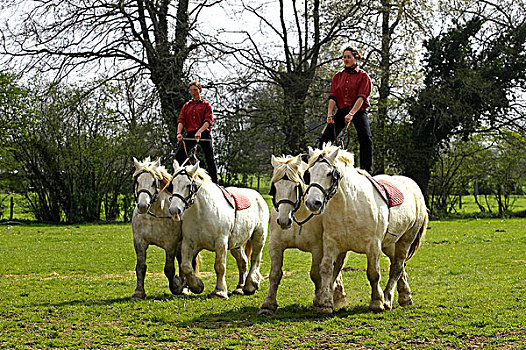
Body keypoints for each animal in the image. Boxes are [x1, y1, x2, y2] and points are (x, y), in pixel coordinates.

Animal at [132, 157, 198, 300]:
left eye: (153, 182)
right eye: (137, 181)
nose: (143, 206)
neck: (153, 217)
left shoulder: (170, 245)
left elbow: (169, 269)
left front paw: (176, 286)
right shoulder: (139, 242)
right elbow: (140, 266)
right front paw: (139, 292)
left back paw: (186, 287)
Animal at [169, 161, 270, 298]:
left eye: (188, 185)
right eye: (172, 184)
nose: (174, 210)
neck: (201, 212)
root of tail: (258, 196)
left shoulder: (221, 242)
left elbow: (220, 266)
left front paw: (219, 291)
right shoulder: (188, 243)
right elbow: (186, 266)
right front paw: (197, 286)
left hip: (259, 236)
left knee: (255, 259)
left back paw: (250, 285)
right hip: (236, 244)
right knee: (243, 262)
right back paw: (240, 287)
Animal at [260, 155, 350, 314]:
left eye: (295, 186)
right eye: (274, 187)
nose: (283, 221)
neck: (298, 216)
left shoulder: (318, 249)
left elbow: (315, 274)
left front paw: (319, 300)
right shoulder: (275, 245)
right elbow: (275, 274)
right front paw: (268, 304)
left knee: (336, 268)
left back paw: (335, 296)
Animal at [306, 144, 428, 314]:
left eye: (329, 173)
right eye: (309, 174)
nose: (312, 203)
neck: (349, 205)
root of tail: (413, 187)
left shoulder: (373, 245)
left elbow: (373, 273)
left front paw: (377, 302)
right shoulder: (332, 244)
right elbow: (326, 269)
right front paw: (324, 303)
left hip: (405, 240)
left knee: (397, 267)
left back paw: (388, 299)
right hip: (390, 243)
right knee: (398, 264)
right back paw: (405, 297)